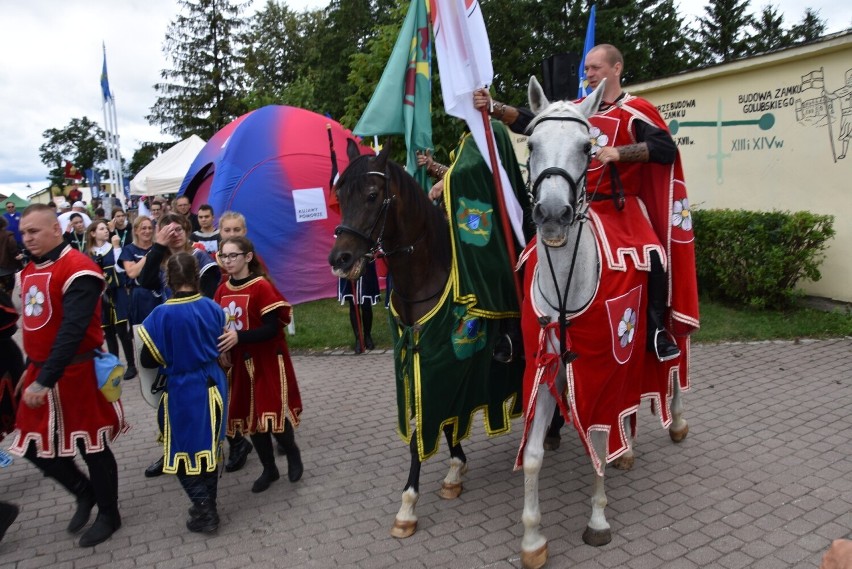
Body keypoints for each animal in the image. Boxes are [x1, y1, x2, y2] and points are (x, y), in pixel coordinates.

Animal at [516, 76, 688, 568]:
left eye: (586, 147)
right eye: (531, 143)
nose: (553, 215)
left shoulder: (605, 368)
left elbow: (597, 437)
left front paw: (597, 520)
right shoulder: (545, 367)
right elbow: (533, 454)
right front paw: (533, 539)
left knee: (672, 369)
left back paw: (675, 419)